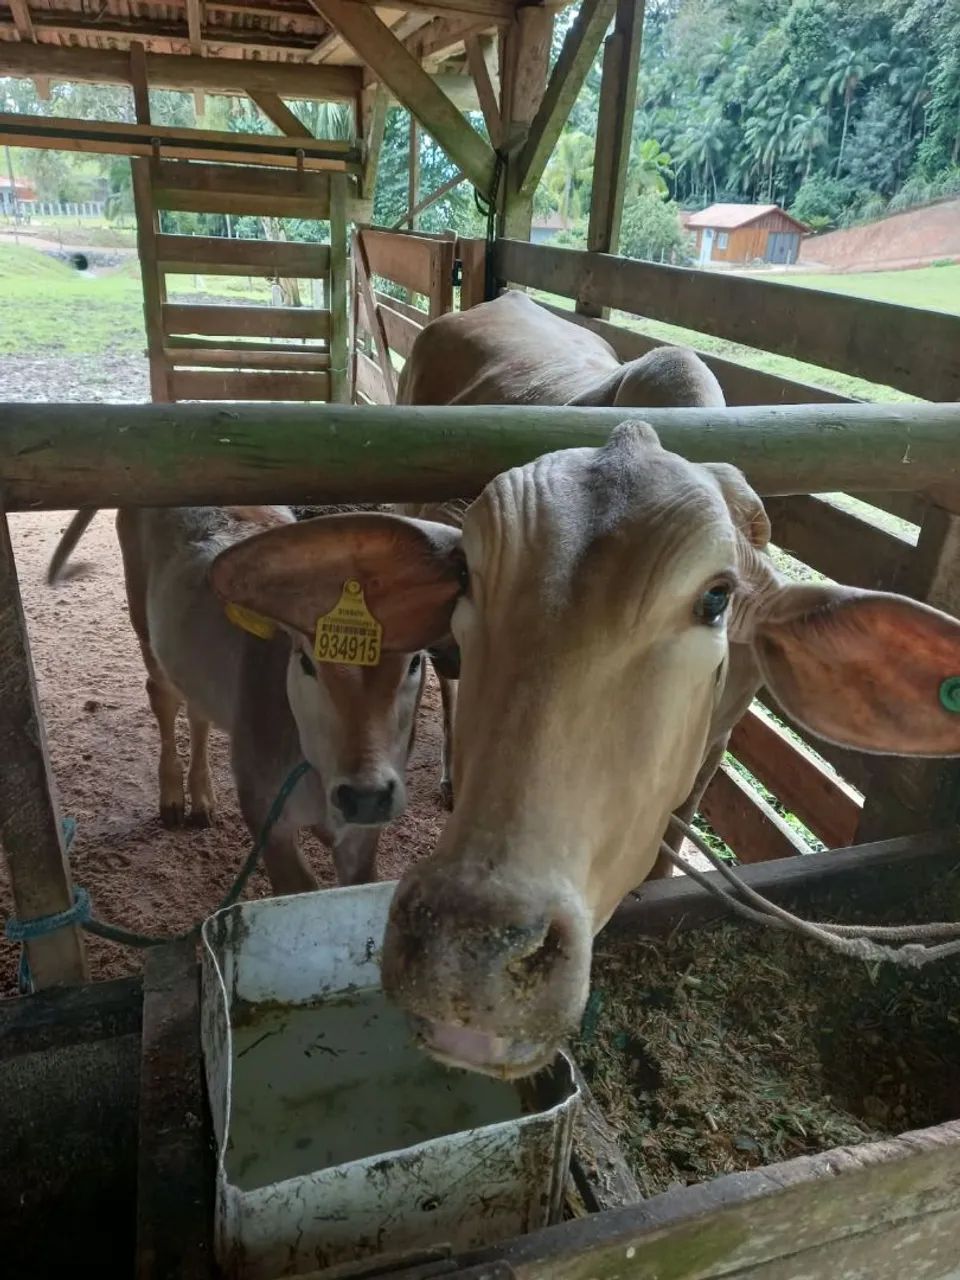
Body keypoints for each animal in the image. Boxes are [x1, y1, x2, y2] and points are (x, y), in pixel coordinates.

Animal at [50, 504, 461, 895]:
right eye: (306, 661)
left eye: (415, 661)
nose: (364, 795)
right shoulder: (265, 811)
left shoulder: (363, 834)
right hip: (143, 620)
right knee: (163, 697)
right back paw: (172, 796)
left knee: (198, 712)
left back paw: (202, 797)